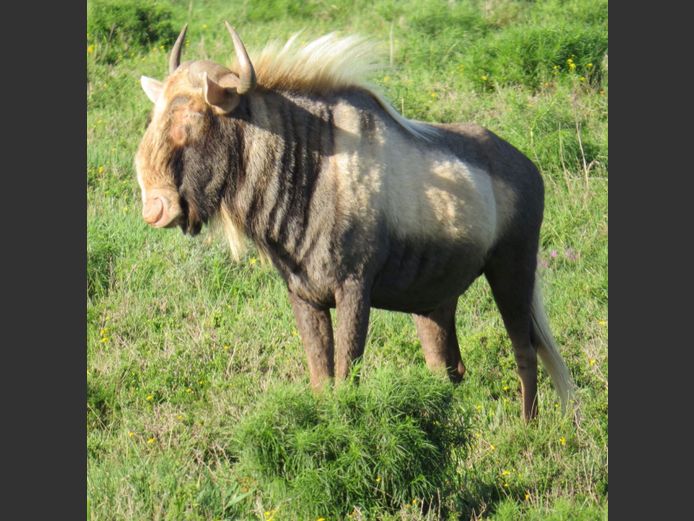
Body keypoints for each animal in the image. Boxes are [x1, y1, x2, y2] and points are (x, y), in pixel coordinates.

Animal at [135, 23, 574, 420]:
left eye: (193, 117)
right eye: (155, 115)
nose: (156, 208)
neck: (315, 166)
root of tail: (529, 168)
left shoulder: (354, 289)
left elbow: (347, 375)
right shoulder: (304, 295)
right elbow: (321, 378)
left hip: (512, 270)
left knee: (525, 352)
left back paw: (528, 427)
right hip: (435, 301)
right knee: (448, 367)